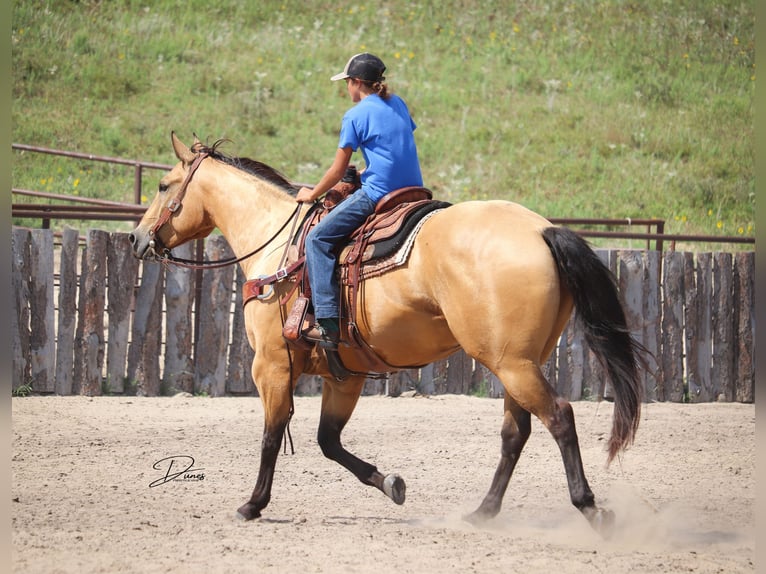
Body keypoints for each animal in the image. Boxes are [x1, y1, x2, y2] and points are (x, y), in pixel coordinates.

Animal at [129, 134, 644, 536]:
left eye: (162, 185)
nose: (136, 239)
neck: (277, 244)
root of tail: (541, 230)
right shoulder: (345, 375)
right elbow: (328, 441)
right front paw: (390, 484)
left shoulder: (271, 364)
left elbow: (272, 436)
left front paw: (253, 504)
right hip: (519, 361)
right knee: (515, 432)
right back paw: (483, 511)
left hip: (512, 364)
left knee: (559, 417)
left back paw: (590, 507)